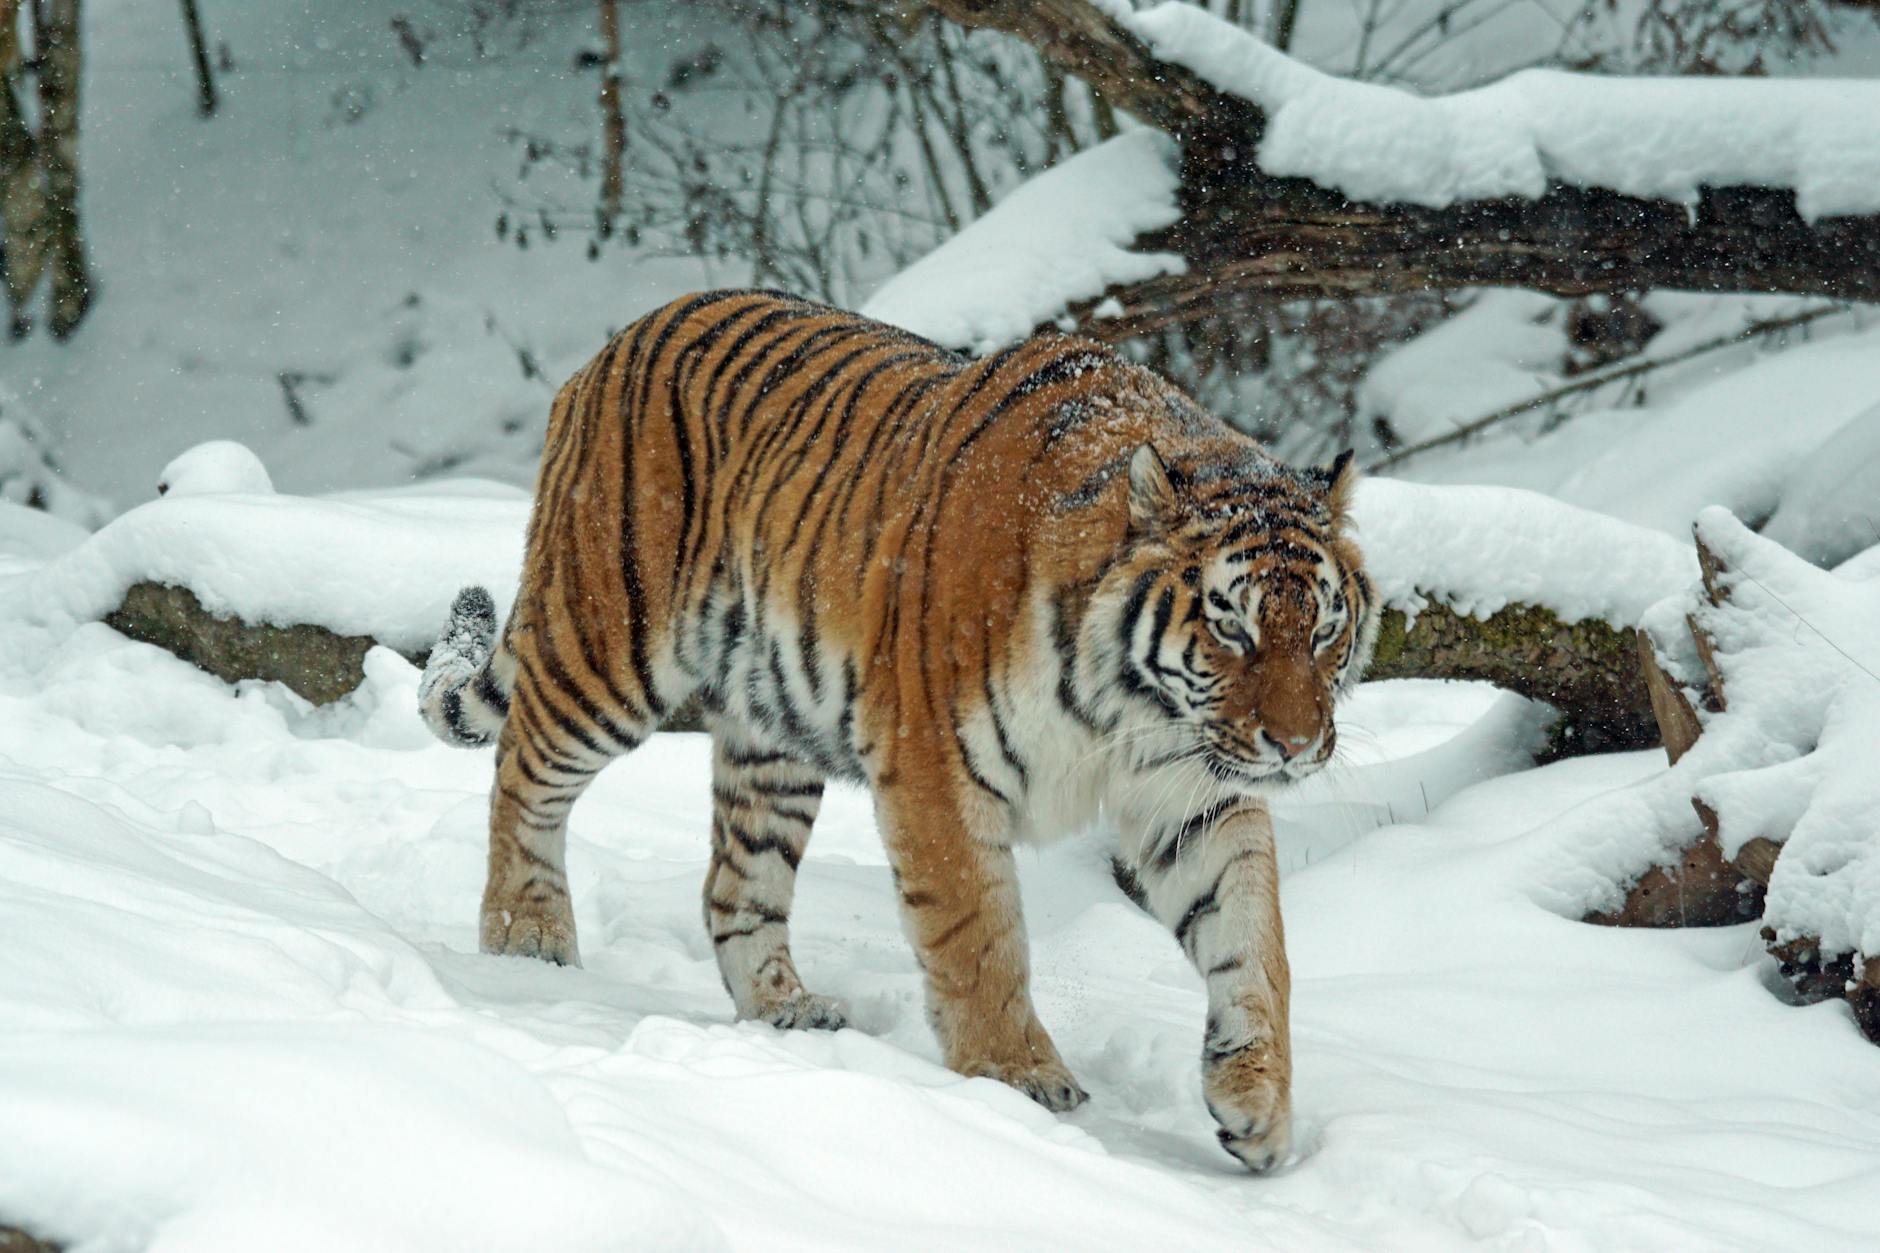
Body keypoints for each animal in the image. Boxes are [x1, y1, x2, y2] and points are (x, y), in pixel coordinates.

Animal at [418, 289, 1376, 1172]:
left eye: (1325, 630)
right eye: (1232, 627)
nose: (1296, 746)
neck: (1132, 707)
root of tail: (616, 342)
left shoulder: (1194, 791)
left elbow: (1254, 938)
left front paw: (1257, 1102)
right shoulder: (935, 768)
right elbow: (980, 935)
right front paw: (1017, 1078)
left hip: (772, 735)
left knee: (735, 884)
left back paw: (787, 1011)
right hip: (607, 642)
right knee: (523, 774)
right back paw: (525, 939)